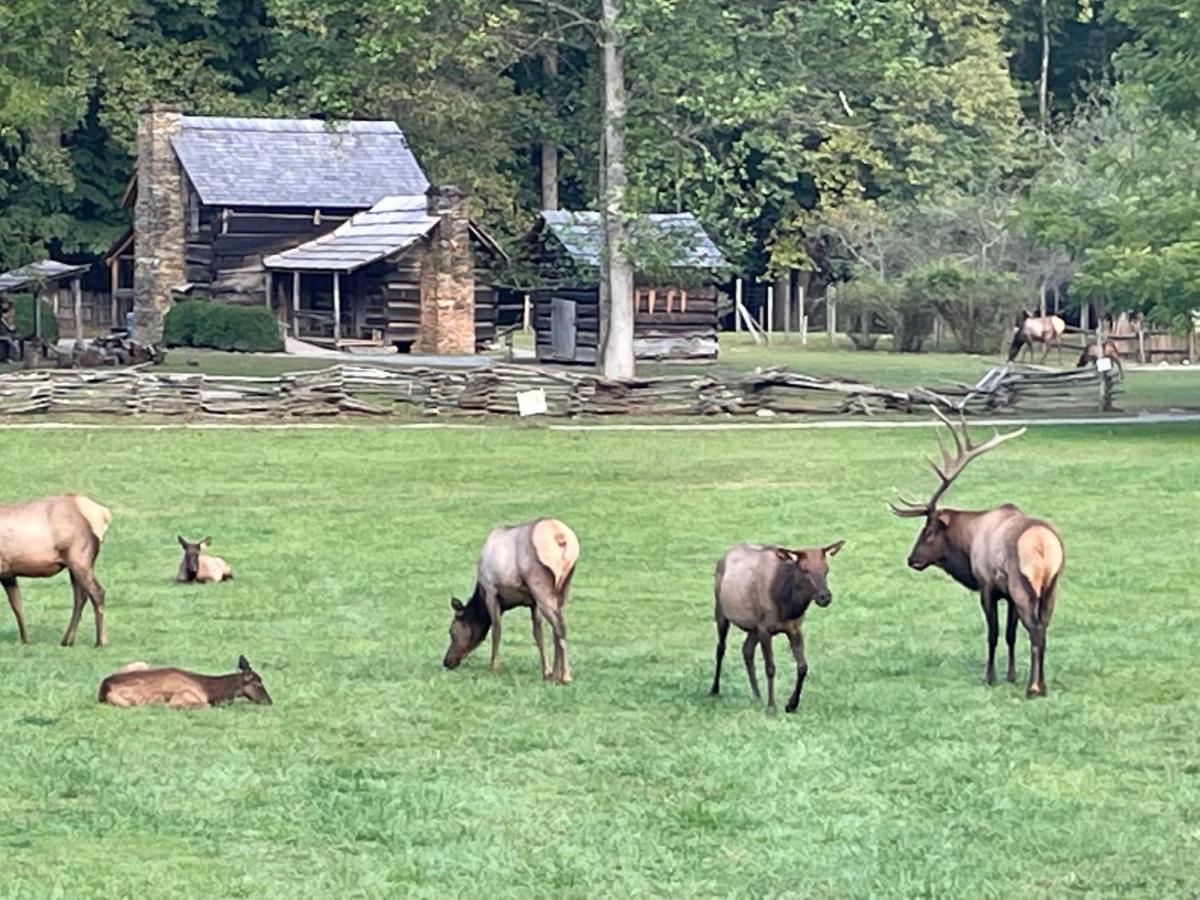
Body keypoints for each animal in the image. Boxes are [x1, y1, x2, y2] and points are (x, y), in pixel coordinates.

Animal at [0, 494, 112, 648]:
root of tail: (102, 513)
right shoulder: (8, 572)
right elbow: (16, 603)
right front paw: (25, 639)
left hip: (80, 560)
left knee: (97, 592)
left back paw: (100, 641)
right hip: (75, 566)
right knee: (80, 597)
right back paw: (67, 640)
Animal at [448, 518, 583, 686]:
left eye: (451, 631)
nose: (446, 661)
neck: (480, 592)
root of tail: (560, 536)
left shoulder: (491, 590)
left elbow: (496, 629)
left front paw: (493, 668)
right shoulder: (533, 603)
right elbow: (538, 634)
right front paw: (546, 671)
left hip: (539, 584)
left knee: (559, 625)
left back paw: (563, 676)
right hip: (563, 586)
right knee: (559, 626)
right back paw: (559, 674)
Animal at [710, 540, 844, 715]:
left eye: (826, 569)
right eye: (804, 569)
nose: (825, 597)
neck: (787, 606)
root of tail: (724, 556)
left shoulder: (794, 628)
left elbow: (803, 666)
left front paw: (791, 704)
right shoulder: (764, 628)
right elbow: (770, 667)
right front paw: (772, 706)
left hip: (753, 627)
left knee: (746, 650)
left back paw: (757, 695)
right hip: (721, 610)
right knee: (720, 648)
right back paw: (714, 689)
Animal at [892, 412, 1070, 700]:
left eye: (928, 531)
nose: (911, 559)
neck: (970, 542)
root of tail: (1044, 544)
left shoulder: (988, 585)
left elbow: (993, 633)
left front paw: (990, 677)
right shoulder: (1008, 595)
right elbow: (1010, 634)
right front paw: (1010, 675)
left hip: (1023, 584)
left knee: (1035, 628)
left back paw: (1033, 688)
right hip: (1051, 585)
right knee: (1043, 627)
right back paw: (1041, 685)